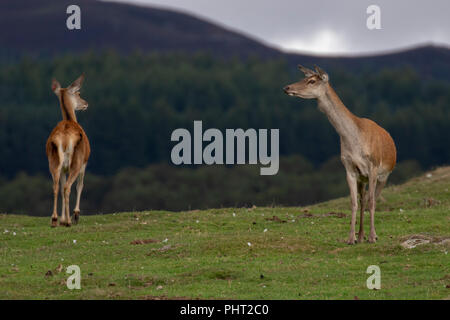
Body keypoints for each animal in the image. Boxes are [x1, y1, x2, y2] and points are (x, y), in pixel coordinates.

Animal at [46, 74, 90, 226]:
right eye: (78, 93)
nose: (86, 103)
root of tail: (64, 139)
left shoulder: (63, 169)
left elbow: (61, 185)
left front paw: (63, 218)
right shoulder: (84, 163)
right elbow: (80, 185)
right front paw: (75, 215)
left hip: (54, 162)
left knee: (55, 186)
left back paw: (54, 219)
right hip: (76, 162)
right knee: (68, 187)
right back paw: (69, 221)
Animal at [284, 66, 396, 244]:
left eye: (312, 81)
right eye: (304, 78)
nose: (287, 88)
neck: (354, 140)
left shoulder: (373, 166)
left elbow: (372, 202)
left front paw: (372, 237)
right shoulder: (349, 168)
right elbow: (353, 202)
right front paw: (351, 238)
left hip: (384, 175)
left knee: (372, 199)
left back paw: (371, 235)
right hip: (362, 178)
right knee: (363, 199)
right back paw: (361, 235)